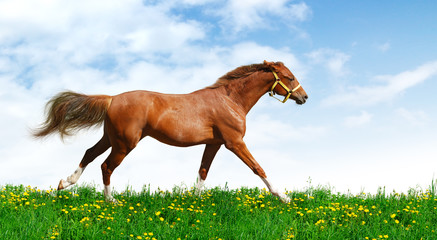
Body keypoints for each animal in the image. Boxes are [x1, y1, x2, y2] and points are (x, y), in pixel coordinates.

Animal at [33, 60, 306, 202]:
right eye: (289, 77)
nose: (304, 97)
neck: (231, 101)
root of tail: (112, 99)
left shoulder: (214, 143)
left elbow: (203, 171)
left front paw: (195, 202)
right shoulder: (234, 142)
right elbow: (258, 167)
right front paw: (283, 197)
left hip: (111, 138)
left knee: (89, 154)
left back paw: (64, 183)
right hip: (124, 144)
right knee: (106, 166)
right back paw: (111, 201)